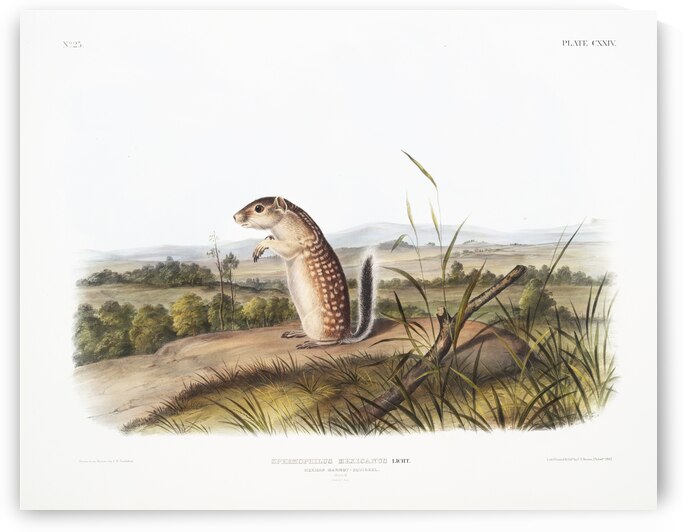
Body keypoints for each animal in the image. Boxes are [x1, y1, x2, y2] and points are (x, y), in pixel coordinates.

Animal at [233, 196, 375, 349]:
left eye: (258, 208)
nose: (234, 216)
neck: (287, 219)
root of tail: (347, 334)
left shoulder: (296, 242)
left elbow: (285, 248)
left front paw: (263, 245)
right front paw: (268, 238)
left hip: (315, 323)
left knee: (332, 341)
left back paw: (312, 343)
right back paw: (296, 333)